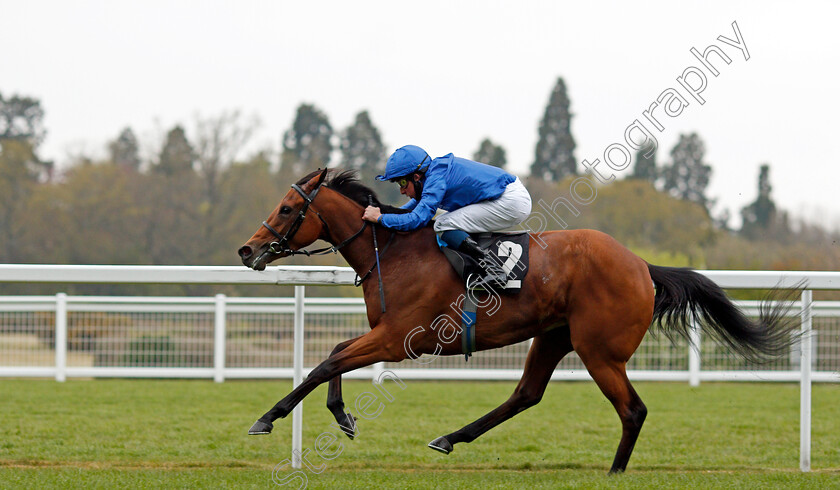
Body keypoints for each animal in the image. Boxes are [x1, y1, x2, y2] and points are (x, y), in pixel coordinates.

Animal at [238, 168, 800, 474]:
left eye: (286, 208)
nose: (247, 250)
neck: (393, 251)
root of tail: (642, 265)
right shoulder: (386, 335)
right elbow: (334, 358)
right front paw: (343, 417)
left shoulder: (399, 339)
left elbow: (324, 365)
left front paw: (267, 417)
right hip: (553, 337)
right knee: (526, 394)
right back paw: (450, 438)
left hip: (599, 350)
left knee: (633, 410)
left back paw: (615, 470)